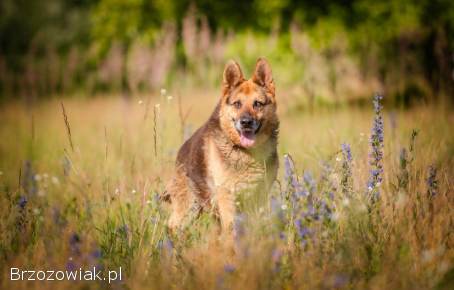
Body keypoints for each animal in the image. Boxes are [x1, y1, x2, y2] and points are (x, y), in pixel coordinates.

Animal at [166, 57, 278, 232]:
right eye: (237, 104)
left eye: (257, 104)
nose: (246, 122)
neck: (246, 152)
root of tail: (181, 150)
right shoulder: (227, 197)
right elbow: (231, 229)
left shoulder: (259, 196)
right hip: (188, 209)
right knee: (172, 226)